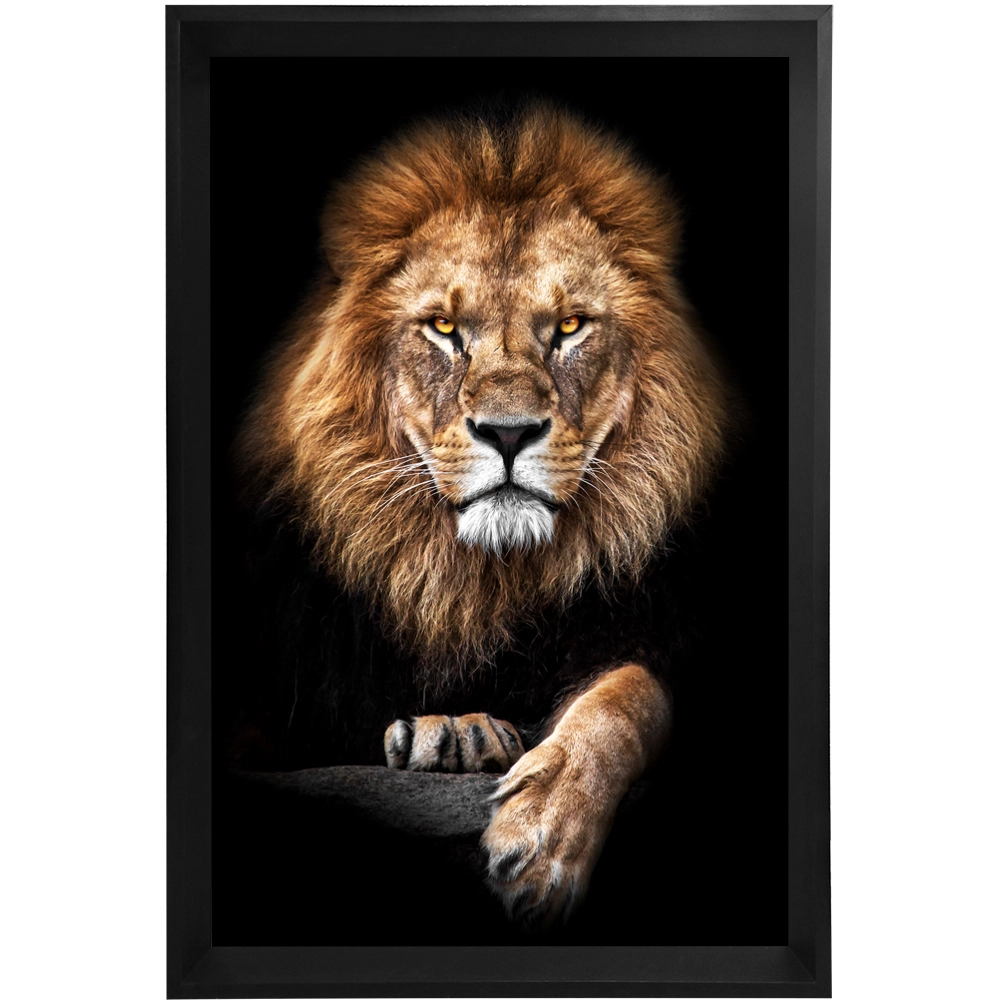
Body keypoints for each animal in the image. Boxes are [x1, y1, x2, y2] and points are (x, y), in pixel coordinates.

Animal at [233, 103, 731, 929]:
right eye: (442, 329)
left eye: (570, 327)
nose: (507, 432)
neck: (477, 581)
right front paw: (454, 733)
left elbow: (630, 695)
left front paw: (544, 836)